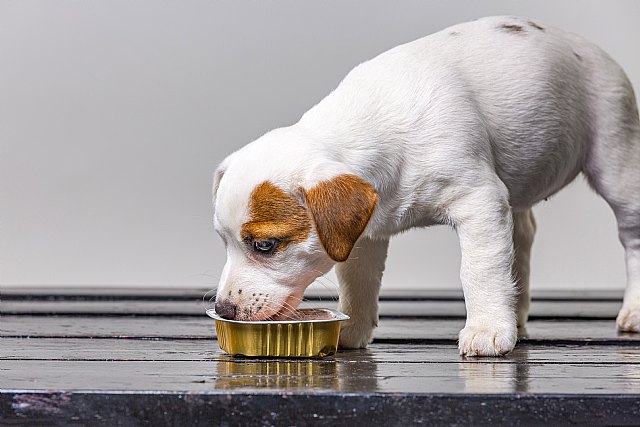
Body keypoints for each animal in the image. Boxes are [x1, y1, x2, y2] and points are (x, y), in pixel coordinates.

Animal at [212, 15, 640, 358]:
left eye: (265, 246)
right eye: (224, 242)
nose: (224, 310)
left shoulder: (479, 202)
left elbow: (480, 269)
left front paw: (486, 329)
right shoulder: (364, 234)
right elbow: (359, 282)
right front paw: (352, 330)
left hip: (617, 160)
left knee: (631, 236)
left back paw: (632, 310)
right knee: (522, 236)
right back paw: (515, 312)